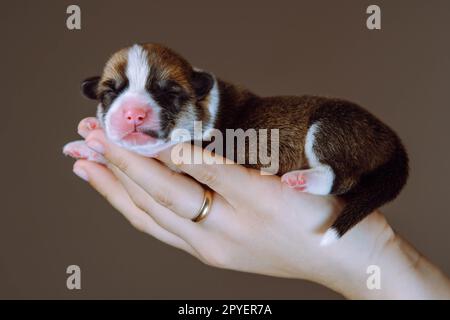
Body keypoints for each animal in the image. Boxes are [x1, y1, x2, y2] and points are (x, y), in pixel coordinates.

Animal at [63, 43, 408, 245]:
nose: (133, 113)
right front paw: (85, 143)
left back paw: (302, 179)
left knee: (342, 177)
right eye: (111, 92)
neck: (205, 104)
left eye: (169, 93)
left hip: (330, 126)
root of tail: (392, 140)